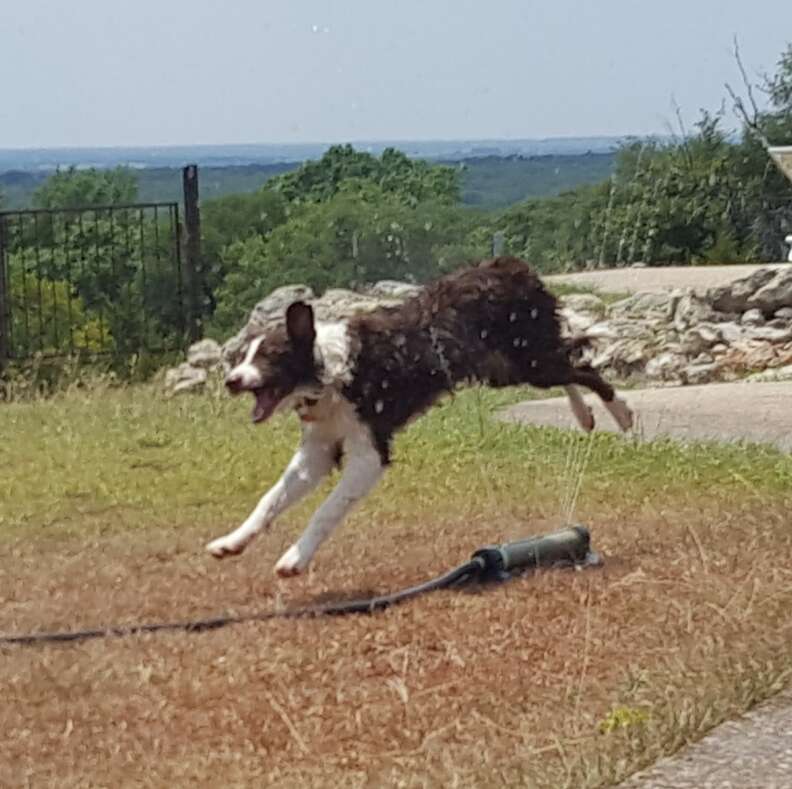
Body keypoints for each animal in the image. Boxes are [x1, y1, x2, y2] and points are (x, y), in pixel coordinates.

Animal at [206, 255, 632, 576]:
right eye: (241, 356)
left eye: (269, 356)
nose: (230, 381)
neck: (327, 375)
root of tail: (509, 265)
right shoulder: (317, 451)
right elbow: (270, 499)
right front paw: (232, 542)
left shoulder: (369, 454)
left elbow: (327, 511)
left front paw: (295, 557)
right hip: (509, 368)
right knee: (571, 369)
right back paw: (585, 414)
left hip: (527, 359)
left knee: (585, 369)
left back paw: (622, 415)